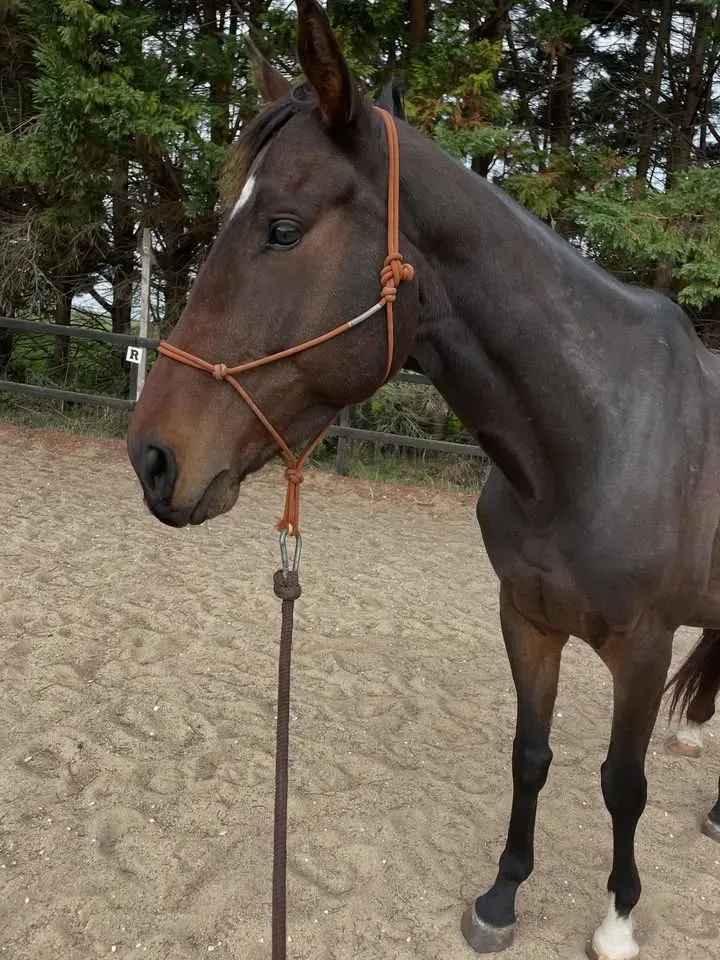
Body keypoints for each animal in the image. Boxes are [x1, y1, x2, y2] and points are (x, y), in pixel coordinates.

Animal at [126, 1, 720, 957]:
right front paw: (502, 895)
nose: (151, 456)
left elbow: (620, 784)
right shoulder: (527, 621)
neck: (594, 442)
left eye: (282, 228)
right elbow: (531, 756)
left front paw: (620, 917)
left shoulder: (644, 646)